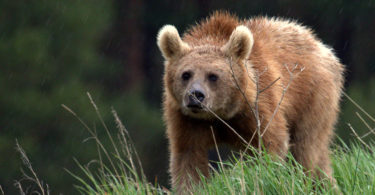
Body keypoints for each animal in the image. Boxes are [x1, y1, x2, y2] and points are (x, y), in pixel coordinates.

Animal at [157, 11, 346, 193]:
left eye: (213, 76)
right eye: (186, 74)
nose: (195, 95)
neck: (221, 114)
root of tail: (322, 46)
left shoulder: (258, 106)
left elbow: (271, 145)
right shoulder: (186, 120)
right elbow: (188, 160)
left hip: (313, 97)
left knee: (306, 148)